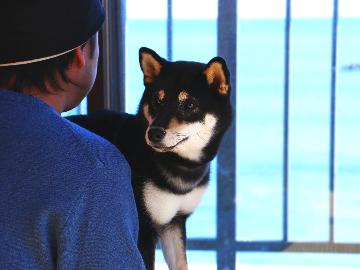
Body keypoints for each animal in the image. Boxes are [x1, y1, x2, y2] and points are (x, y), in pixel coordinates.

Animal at [67, 47, 231, 268]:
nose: (154, 133)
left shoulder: (174, 222)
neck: (179, 164)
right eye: (157, 100)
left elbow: (181, 263)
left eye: (189, 104)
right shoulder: (143, 229)